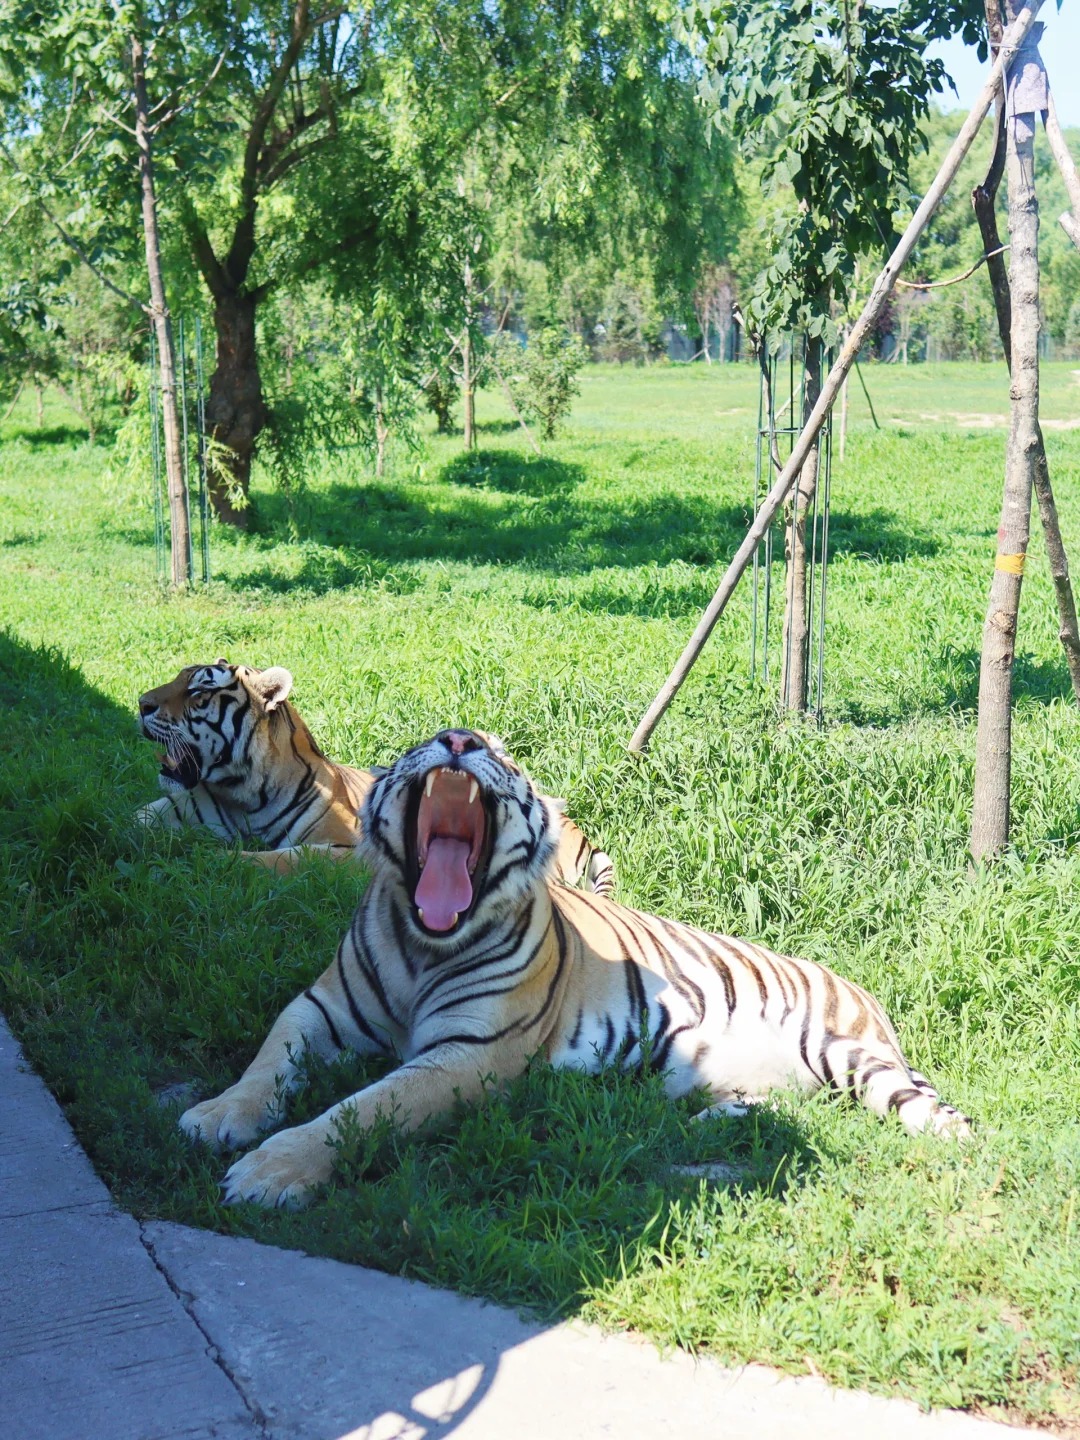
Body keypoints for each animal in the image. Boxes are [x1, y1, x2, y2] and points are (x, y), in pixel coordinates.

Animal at [136, 661, 614, 892]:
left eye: (199, 690)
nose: (140, 703)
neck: (240, 795)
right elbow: (136, 823)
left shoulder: (345, 847)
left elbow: (292, 857)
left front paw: (220, 859)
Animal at [177, 727, 969, 1210]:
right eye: (425, 741)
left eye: (501, 754)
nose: (459, 740)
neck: (424, 943)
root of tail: (863, 989)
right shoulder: (319, 1008)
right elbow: (266, 1062)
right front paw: (217, 1118)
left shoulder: (467, 1055)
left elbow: (359, 1110)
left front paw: (270, 1172)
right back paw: (712, 1118)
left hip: (851, 1057)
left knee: (933, 1114)